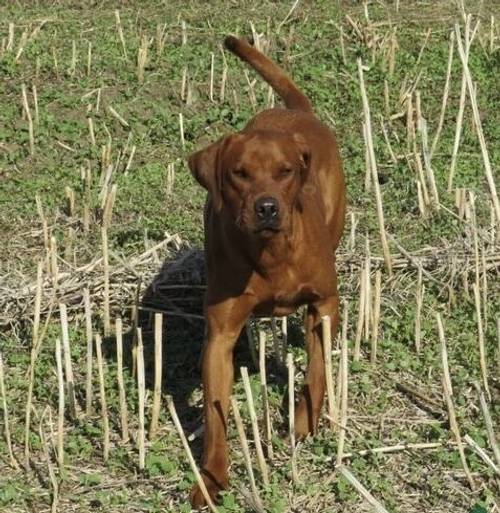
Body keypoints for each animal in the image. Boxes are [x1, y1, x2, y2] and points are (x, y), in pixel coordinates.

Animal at [186, 37, 346, 508]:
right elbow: (216, 413)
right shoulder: (221, 333)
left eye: (285, 172)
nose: (267, 207)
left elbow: (317, 369)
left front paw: (304, 423)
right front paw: (212, 478)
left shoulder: (324, 303)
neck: (272, 254)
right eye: (239, 174)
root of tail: (299, 113)